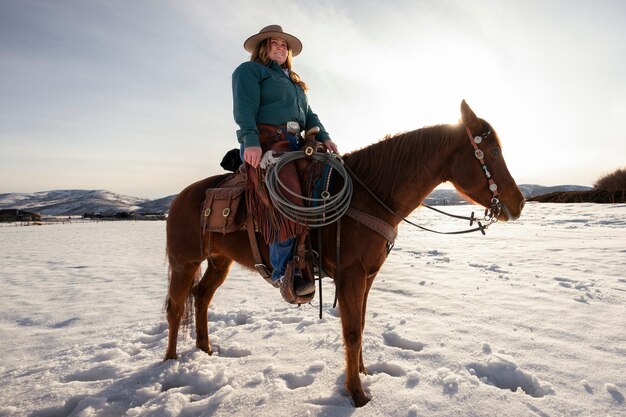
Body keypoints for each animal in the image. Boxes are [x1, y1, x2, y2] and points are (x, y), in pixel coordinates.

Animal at [165, 101, 520, 406]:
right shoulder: (350, 275)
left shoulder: (367, 276)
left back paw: (205, 349)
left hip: (219, 262)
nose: (518, 203)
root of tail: (180, 196)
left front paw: (363, 373)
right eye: (493, 150)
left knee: (201, 297)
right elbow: (351, 332)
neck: (370, 196)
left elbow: (360, 325)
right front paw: (357, 394)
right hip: (185, 262)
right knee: (176, 307)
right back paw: (170, 362)